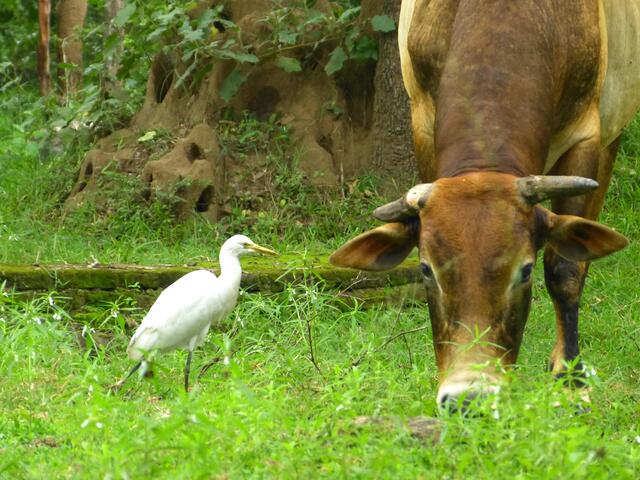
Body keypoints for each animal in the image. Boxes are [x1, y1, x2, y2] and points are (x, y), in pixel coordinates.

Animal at [331, 0, 639, 411]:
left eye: (525, 270)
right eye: (426, 270)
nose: (468, 397)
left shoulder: (585, 136)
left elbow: (566, 272)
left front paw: (571, 382)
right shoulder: (422, 124)